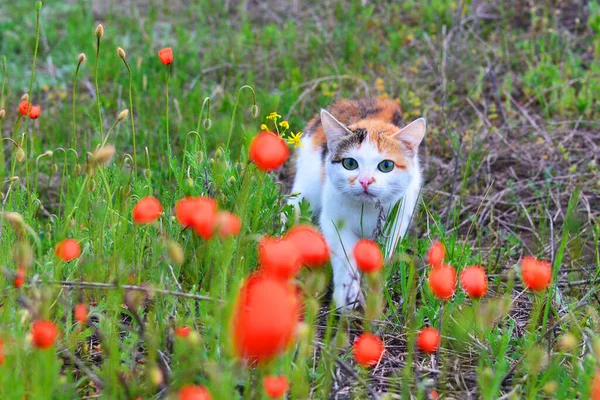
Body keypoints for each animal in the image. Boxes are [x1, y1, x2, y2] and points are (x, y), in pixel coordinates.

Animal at [288, 98, 424, 310]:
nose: (365, 181)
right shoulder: (334, 222)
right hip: (305, 189)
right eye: (350, 164)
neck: (366, 210)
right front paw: (348, 296)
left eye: (386, 166)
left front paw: (374, 291)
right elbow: (345, 257)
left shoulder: (396, 224)